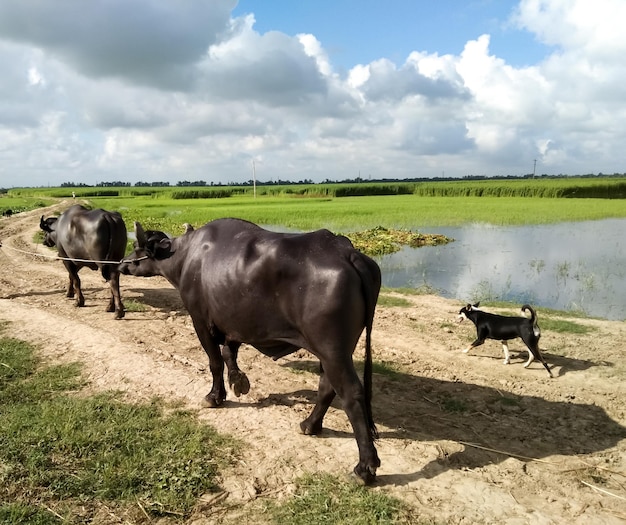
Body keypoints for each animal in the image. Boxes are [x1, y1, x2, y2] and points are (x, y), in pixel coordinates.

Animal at [117, 218, 380, 484]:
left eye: (137, 246)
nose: (121, 264)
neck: (187, 257)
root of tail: (346, 253)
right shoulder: (233, 324)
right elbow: (228, 354)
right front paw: (238, 381)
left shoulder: (200, 321)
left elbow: (215, 361)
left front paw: (214, 396)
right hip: (334, 352)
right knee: (327, 386)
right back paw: (309, 425)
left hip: (332, 350)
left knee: (351, 394)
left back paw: (365, 467)